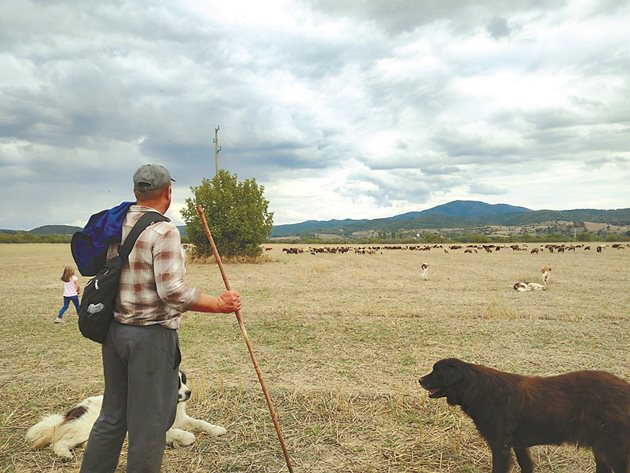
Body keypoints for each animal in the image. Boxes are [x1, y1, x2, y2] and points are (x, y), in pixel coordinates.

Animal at [25, 370, 227, 460]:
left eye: (183, 381)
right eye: (174, 384)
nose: (189, 392)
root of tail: (75, 409)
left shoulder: (182, 419)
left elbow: (201, 423)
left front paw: (217, 429)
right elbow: (184, 434)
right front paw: (181, 439)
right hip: (85, 427)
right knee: (59, 442)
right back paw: (65, 454)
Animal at [420, 358, 630, 472]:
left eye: (436, 372)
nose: (419, 379)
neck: (478, 389)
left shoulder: (500, 446)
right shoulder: (519, 445)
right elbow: (526, 466)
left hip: (614, 449)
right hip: (601, 448)